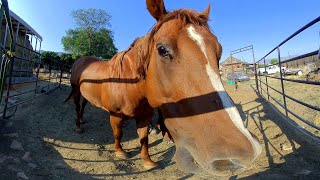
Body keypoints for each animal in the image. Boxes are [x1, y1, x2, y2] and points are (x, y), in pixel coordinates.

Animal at [66, 0, 262, 175]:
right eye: (161, 49)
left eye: (219, 51)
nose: (243, 150)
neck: (128, 85)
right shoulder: (116, 116)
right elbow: (118, 134)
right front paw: (120, 152)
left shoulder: (144, 116)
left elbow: (143, 139)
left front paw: (147, 161)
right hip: (75, 90)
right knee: (76, 106)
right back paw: (78, 125)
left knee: (83, 105)